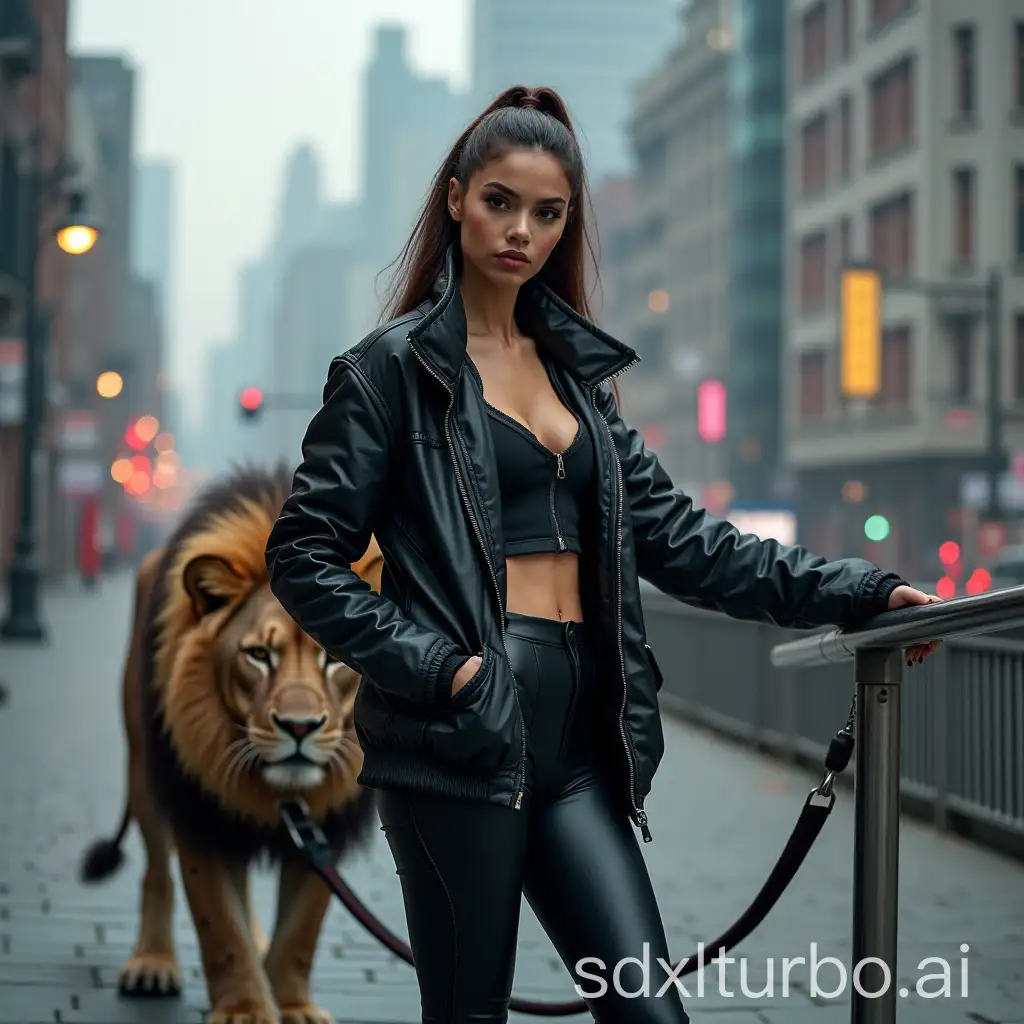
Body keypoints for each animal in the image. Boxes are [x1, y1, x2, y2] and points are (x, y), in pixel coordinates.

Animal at [79, 464, 382, 1024]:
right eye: (258, 655)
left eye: (334, 659)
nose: (300, 727)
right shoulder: (201, 809)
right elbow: (219, 924)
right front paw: (244, 1008)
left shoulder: (325, 825)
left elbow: (300, 932)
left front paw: (292, 1005)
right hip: (144, 772)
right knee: (156, 875)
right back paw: (151, 965)